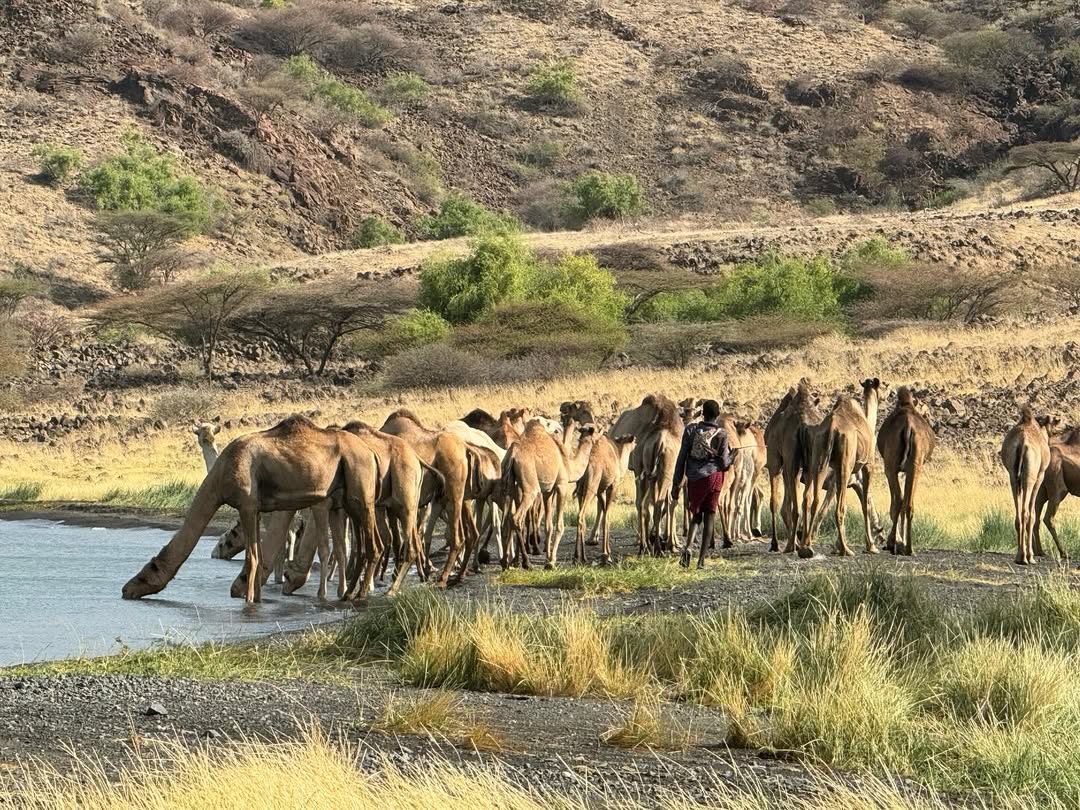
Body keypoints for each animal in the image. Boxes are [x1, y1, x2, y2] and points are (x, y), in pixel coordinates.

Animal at [123, 416, 378, 603]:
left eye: (147, 572)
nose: (126, 589)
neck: (221, 475)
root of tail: (370, 452)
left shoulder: (246, 505)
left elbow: (252, 557)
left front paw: (248, 600)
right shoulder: (255, 508)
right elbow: (259, 554)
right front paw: (256, 597)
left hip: (360, 495)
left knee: (372, 544)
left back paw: (359, 593)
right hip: (345, 501)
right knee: (354, 545)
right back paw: (349, 592)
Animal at [573, 433, 636, 564]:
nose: (635, 440)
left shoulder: (600, 491)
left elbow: (603, 514)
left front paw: (606, 552)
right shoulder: (613, 486)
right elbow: (606, 517)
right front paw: (606, 555)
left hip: (580, 490)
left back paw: (579, 556)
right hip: (591, 487)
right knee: (581, 515)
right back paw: (579, 557)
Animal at [877, 387, 935, 556]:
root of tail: (908, 427)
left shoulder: (893, 469)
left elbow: (895, 503)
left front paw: (895, 542)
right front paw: (900, 543)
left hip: (890, 466)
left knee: (898, 501)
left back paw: (894, 545)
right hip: (915, 467)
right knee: (908, 503)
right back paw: (909, 548)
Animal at [1000, 407, 1056, 565]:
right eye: (1053, 422)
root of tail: (1022, 442)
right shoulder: (1040, 476)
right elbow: (1033, 514)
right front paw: (1031, 556)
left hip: (1013, 476)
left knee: (1018, 514)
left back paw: (1019, 556)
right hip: (1029, 477)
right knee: (1026, 513)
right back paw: (1027, 557)